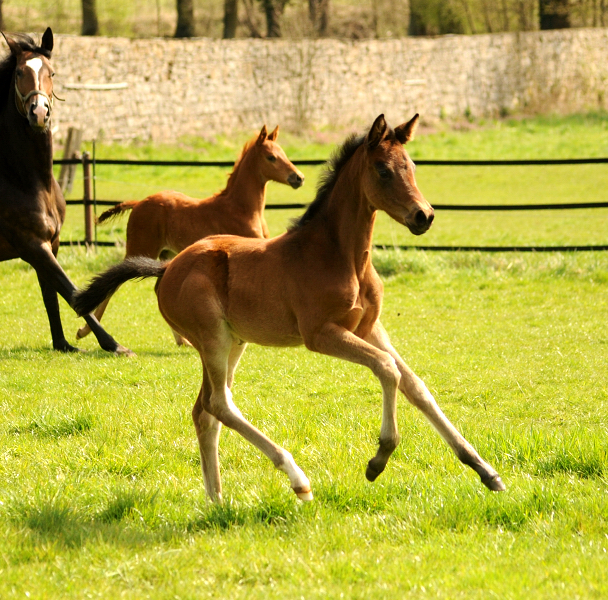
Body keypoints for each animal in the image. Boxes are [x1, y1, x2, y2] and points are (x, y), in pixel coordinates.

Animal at [0, 29, 132, 352]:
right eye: (19, 72)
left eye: (52, 72)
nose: (38, 113)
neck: (24, 180)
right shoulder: (33, 246)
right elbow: (71, 292)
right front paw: (113, 345)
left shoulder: (51, 244)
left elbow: (51, 295)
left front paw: (63, 344)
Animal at [76, 124, 304, 344]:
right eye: (271, 157)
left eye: (284, 153)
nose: (298, 178)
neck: (242, 208)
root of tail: (138, 202)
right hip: (141, 248)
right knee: (114, 283)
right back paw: (84, 331)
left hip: (166, 254)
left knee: (156, 287)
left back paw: (182, 340)